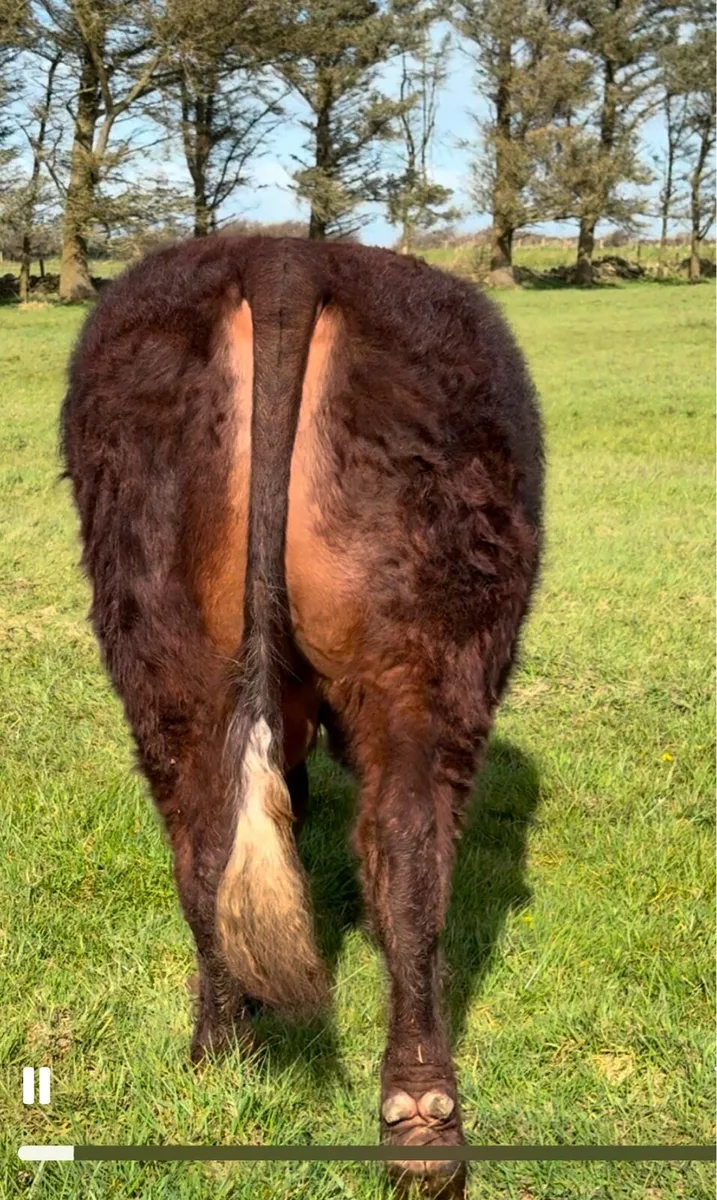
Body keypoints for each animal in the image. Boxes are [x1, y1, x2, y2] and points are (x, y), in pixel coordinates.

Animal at [61, 235, 544, 1193]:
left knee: (210, 841)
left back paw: (241, 1054)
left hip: (167, 638)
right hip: (432, 648)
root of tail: (284, 255)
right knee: (409, 850)